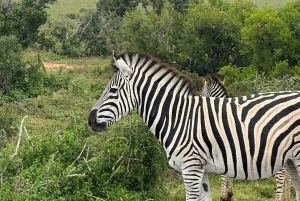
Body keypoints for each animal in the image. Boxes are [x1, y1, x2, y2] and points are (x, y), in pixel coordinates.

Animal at [89, 52, 300, 201]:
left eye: (113, 90)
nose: (90, 120)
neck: (178, 118)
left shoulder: (191, 168)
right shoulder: (202, 169)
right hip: (291, 161)